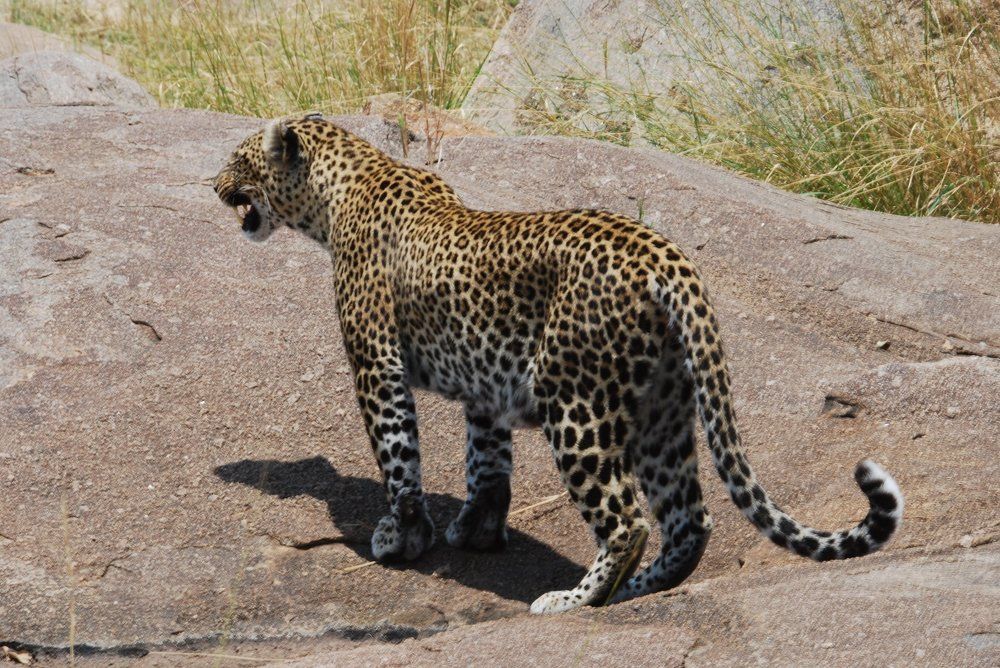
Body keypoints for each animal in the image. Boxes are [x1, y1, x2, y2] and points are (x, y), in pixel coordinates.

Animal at [213, 114, 904, 614]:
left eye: (238, 160)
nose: (212, 187)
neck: (337, 194)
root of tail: (669, 258)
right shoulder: (485, 386)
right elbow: (487, 462)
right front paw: (479, 530)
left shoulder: (375, 365)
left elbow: (398, 456)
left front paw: (402, 537)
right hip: (662, 407)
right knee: (689, 520)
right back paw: (634, 592)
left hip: (574, 401)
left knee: (627, 520)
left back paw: (573, 599)